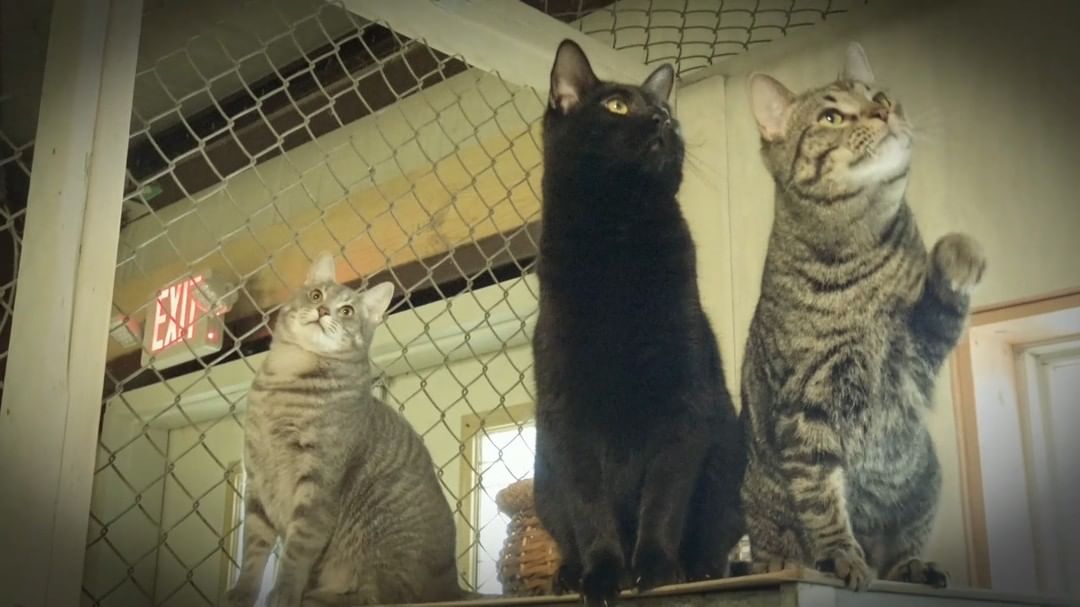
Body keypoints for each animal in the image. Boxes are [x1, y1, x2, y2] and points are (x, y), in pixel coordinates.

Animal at [225, 251, 462, 604]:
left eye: (347, 310)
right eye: (316, 295)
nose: (323, 311)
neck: (287, 376)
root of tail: (454, 584)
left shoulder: (318, 485)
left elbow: (296, 553)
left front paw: (283, 593)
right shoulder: (257, 483)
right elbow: (253, 551)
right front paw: (242, 594)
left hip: (381, 541)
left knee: (378, 596)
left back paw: (319, 597)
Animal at [529, 40, 743, 600]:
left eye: (665, 108)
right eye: (617, 106)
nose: (664, 120)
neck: (618, 239)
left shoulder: (684, 400)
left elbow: (663, 498)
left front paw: (655, 569)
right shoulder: (568, 417)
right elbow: (590, 508)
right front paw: (604, 576)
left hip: (730, 465)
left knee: (716, 536)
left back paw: (701, 568)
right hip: (543, 481)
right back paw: (566, 574)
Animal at [743, 43, 989, 591]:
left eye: (877, 95)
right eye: (831, 117)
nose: (883, 111)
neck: (857, 244)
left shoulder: (920, 348)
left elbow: (942, 301)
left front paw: (957, 254)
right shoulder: (806, 404)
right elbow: (822, 500)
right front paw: (840, 555)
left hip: (926, 480)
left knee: (898, 549)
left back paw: (911, 565)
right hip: (759, 498)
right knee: (776, 539)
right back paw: (774, 563)